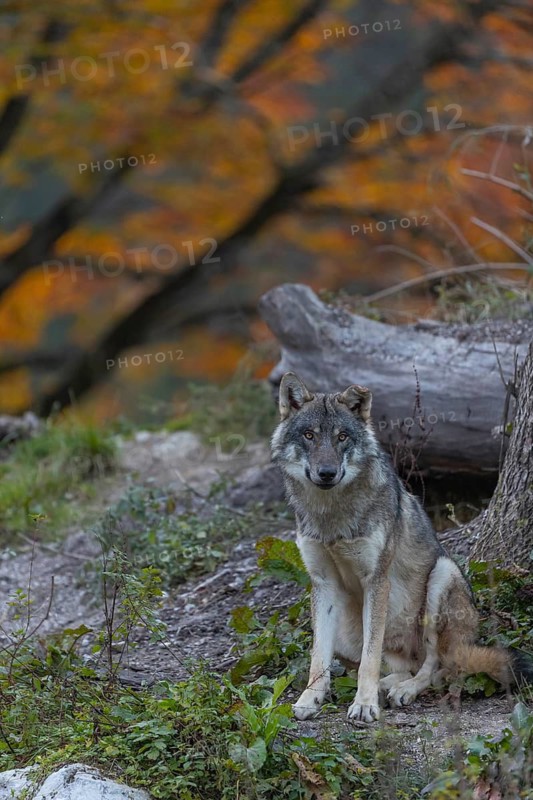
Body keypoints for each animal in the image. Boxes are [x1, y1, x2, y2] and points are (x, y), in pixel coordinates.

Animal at [271, 372, 531, 723]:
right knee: (405, 666)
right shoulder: (323, 584)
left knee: (438, 667)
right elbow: (319, 656)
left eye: (342, 437)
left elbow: (369, 657)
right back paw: (388, 685)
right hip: (348, 632)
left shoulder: (377, 581)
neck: (331, 515)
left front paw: (364, 704)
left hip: (442, 578)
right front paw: (311, 698)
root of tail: (467, 642)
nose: (326, 473)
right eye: (309, 435)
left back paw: (403, 690)